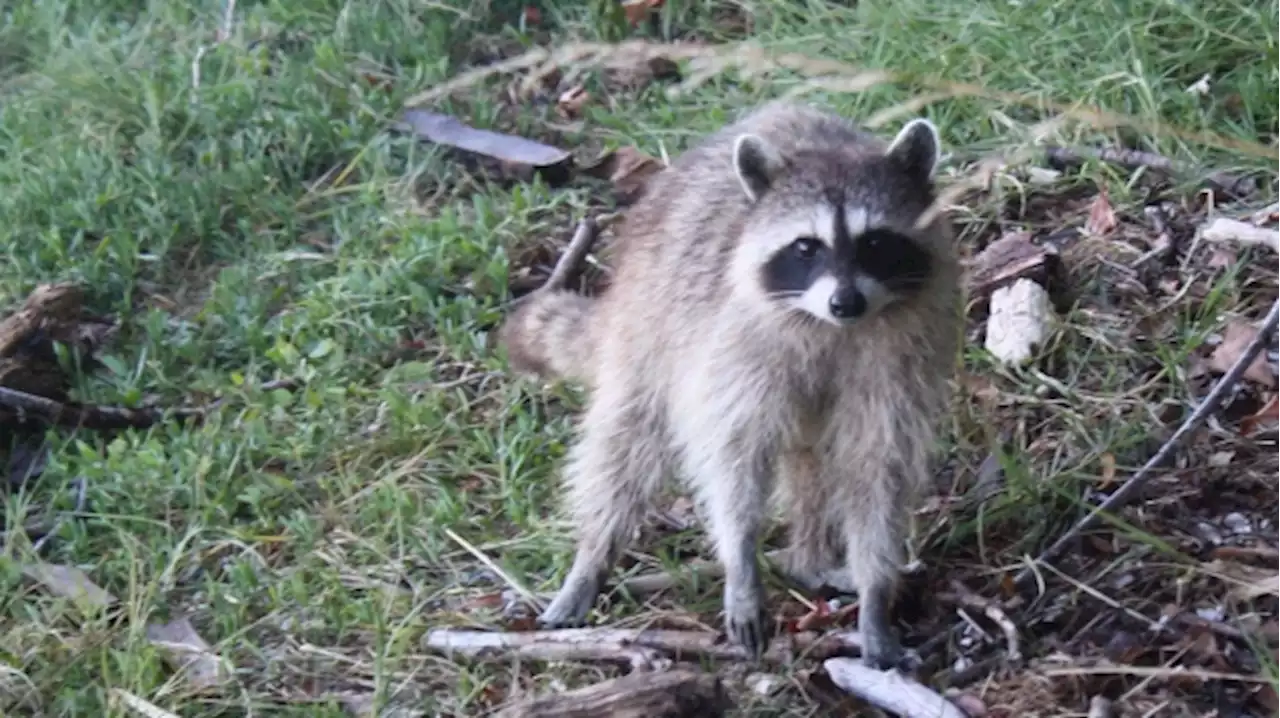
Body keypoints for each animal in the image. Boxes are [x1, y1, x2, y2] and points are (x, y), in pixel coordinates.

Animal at [499, 99, 962, 665]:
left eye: (875, 242)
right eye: (806, 248)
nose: (845, 302)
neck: (831, 329)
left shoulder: (900, 360)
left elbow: (878, 466)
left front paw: (876, 593)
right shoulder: (735, 342)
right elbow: (732, 456)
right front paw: (740, 563)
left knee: (811, 460)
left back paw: (809, 558)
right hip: (649, 322)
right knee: (625, 445)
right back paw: (593, 556)